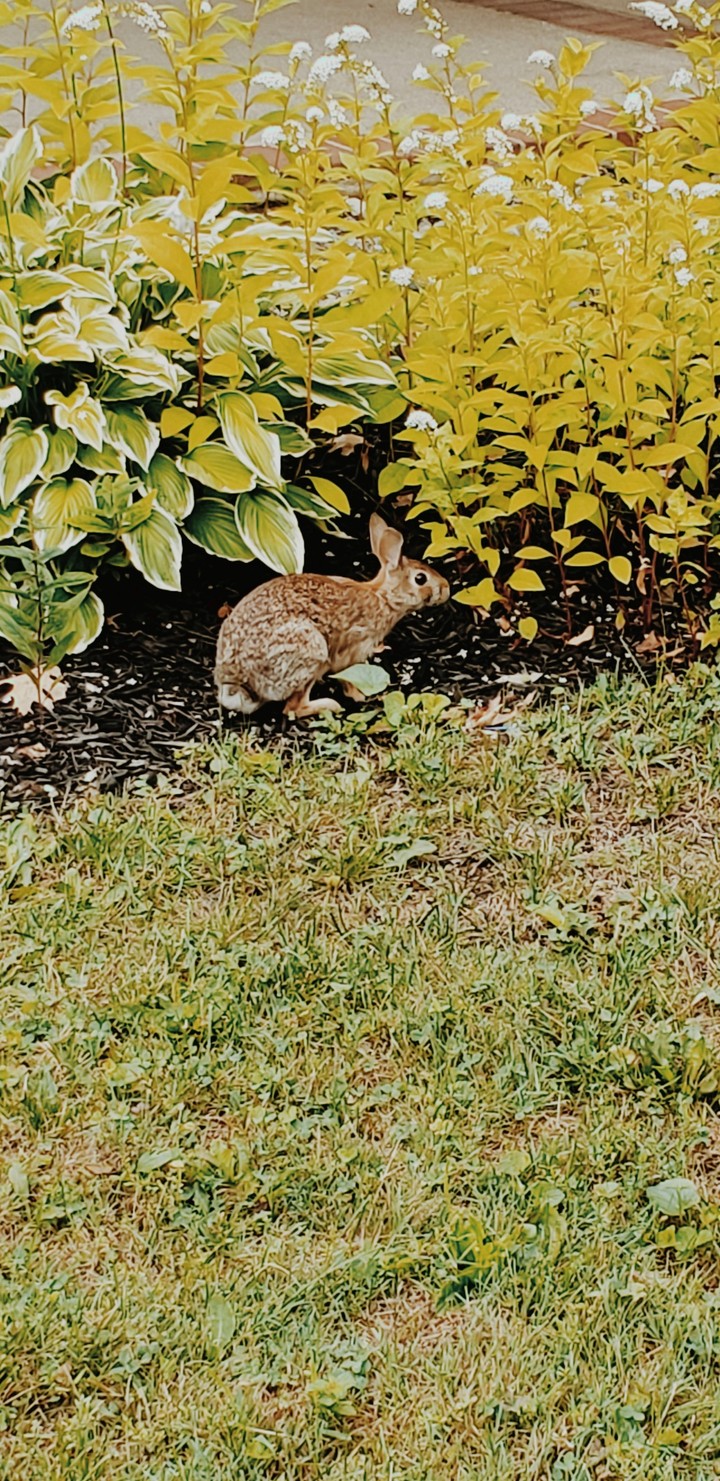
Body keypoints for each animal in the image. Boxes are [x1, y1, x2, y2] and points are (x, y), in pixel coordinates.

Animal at [215, 513, 450, 717]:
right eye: (420, 579)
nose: (446, 588)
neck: (383, 598)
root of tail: (238, 679)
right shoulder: (353, 651)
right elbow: (348, 678)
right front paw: (359, 696)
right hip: (311, 652)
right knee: (293, 708)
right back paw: (331, 705)